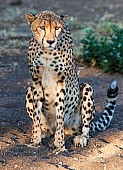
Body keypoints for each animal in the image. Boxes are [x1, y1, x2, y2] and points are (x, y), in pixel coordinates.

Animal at [24, 10, 118, 153]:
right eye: (42, 27)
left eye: (57, 28)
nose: (50, 41)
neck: (47, 51)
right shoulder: (36, 81)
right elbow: (36, 115)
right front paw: (35, 140)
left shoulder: (61, 82)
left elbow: (60, 114)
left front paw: (60, 145)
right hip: (30, 90)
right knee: (48, 128)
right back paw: (44, 132)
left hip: (86, 89)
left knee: (85, 128)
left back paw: (81, 138)